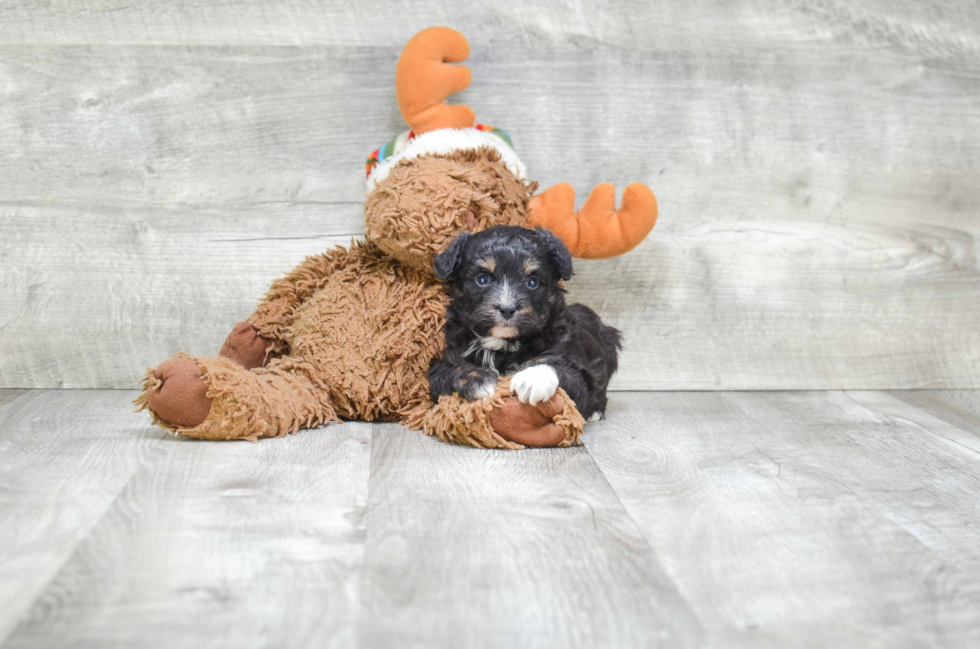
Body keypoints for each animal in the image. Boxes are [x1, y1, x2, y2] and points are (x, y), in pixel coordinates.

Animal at [428, 225, 620, 422]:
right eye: (482, 279)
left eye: (532, 282)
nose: (507, 309)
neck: (502, 343)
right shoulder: (447, 360)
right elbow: (448, 370)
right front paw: (477, 379)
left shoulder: (571, 362)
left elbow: (565, 372)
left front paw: (533, 378)